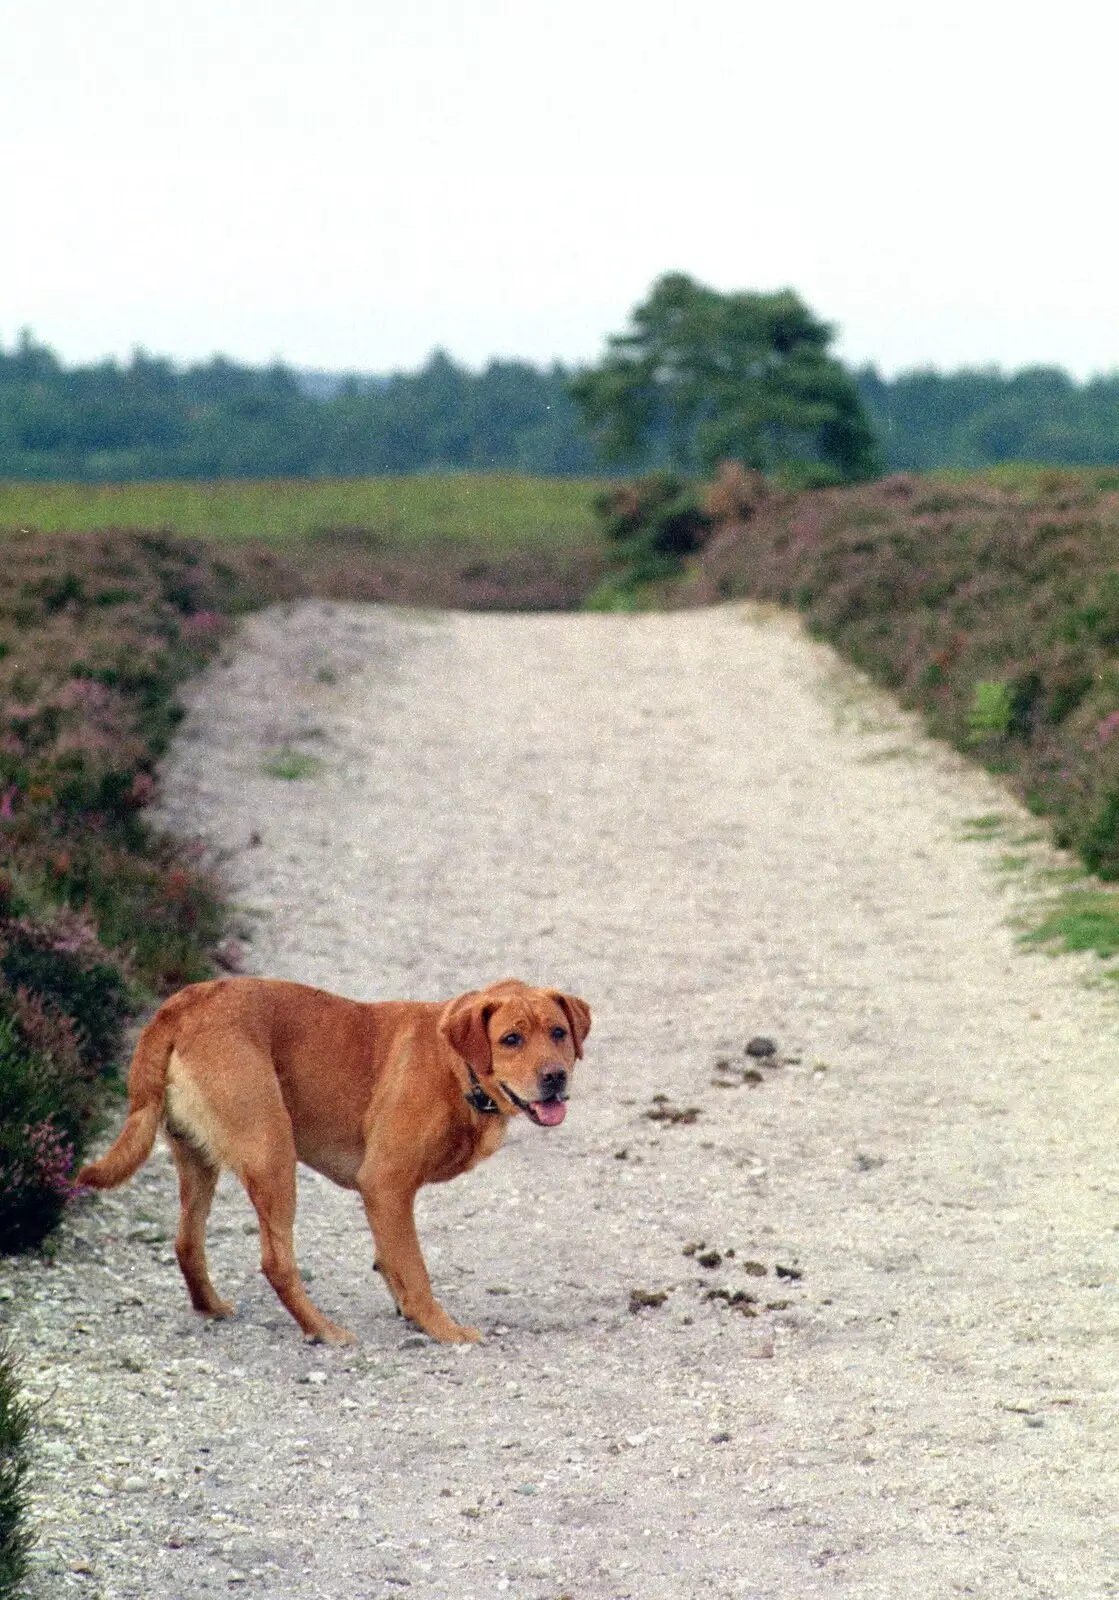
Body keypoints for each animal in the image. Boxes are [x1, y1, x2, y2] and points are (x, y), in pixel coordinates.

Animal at [74, 972, 592, 1337]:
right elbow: (415, 1270)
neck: (458, 1068)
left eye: (558, 1033)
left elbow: (391, 1260)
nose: (555, 1077)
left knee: (186, 1242)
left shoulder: (383, 1197)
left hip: (198, 1161)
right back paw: (323, 1331)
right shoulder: (386, 1183)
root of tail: (180, 1005)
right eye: (510, 1039)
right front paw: (443, 1329)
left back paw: (211, 1307)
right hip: (272, 1155)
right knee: (276, 1262)